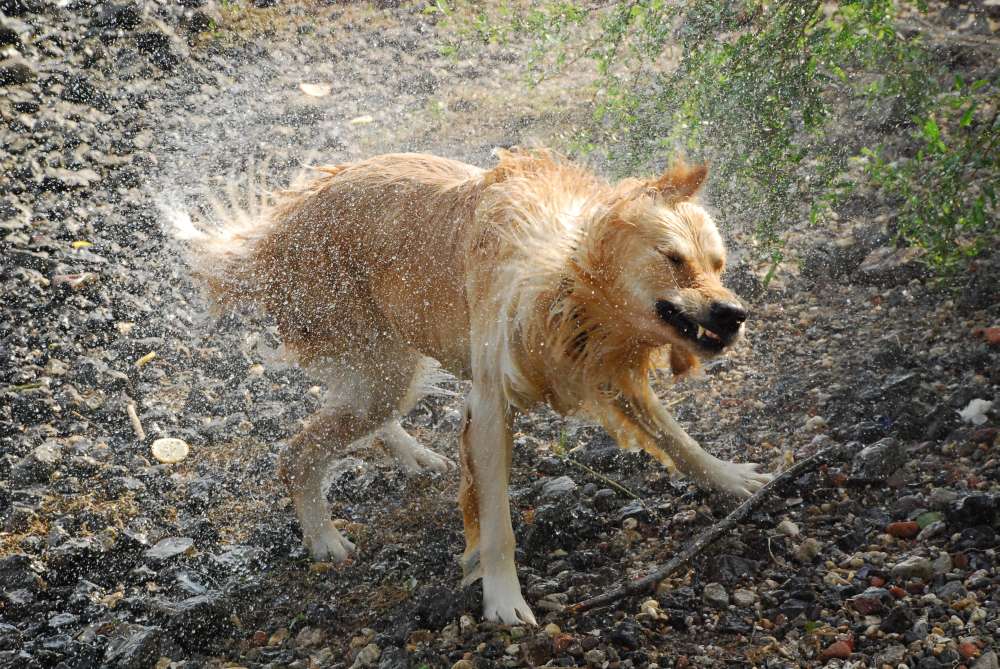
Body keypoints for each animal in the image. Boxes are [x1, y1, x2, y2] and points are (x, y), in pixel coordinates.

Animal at [168, 147, 768, 628]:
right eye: (673, 259)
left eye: (719, 265)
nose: (735, 314)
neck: (564, 282)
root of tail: (272, 231)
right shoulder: (490, 403)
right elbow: (497, 524)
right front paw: (504, 599)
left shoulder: (603, 368)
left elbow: (677, 439)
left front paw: (731, 479)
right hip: (371, 353)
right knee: (297, 452)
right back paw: (324, 538)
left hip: (388, 364)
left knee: (358, 413)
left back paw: (408, 453)